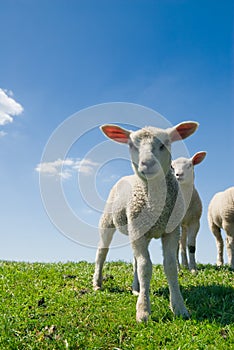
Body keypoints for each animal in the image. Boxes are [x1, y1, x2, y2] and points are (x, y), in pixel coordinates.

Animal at [93, 121, 199, 322]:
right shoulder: (138, 231)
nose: (148, 164)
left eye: (165, 144)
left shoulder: (171, 231)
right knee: (102, 251)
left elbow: (169, 266)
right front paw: (143, 311)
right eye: (131, 145)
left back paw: (136, 288)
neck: (156, 204)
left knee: (135, 259)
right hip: (109, 221)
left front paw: (179, 307)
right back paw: (97, 282)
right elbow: (145, 267)